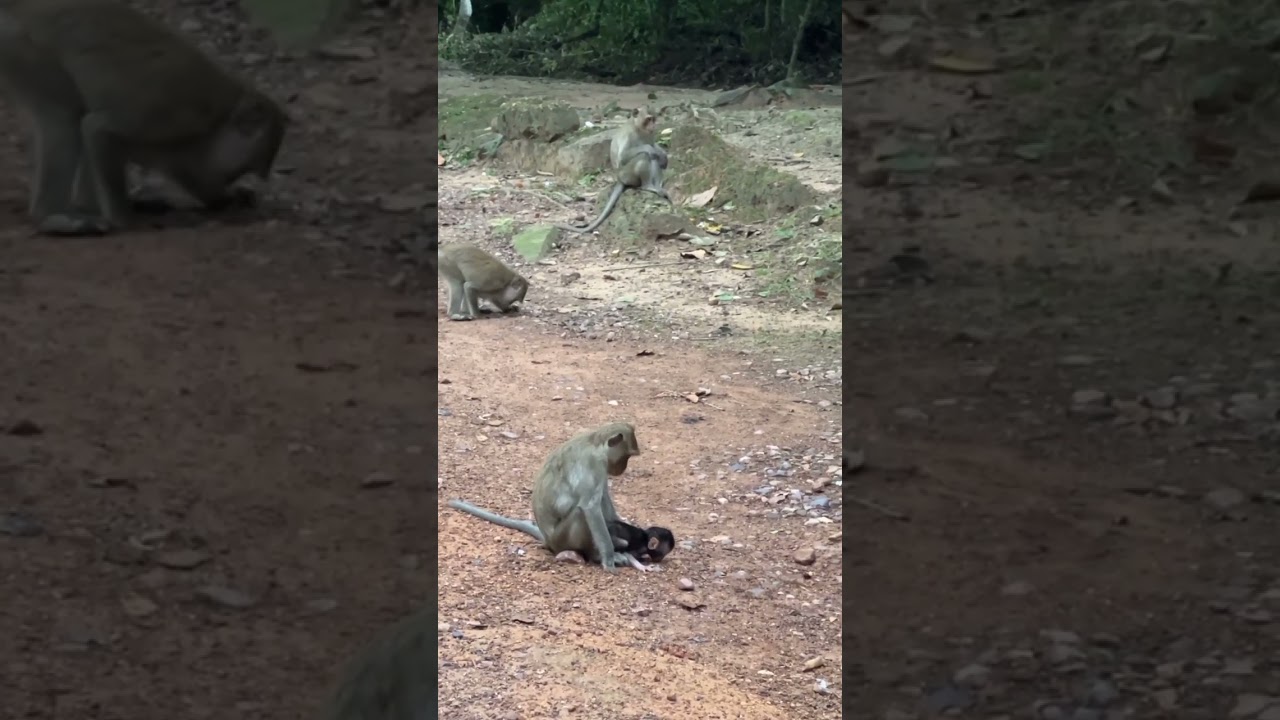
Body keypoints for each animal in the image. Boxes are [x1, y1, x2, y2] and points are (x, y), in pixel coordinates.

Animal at [0, 0, 287, 236]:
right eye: (248, 167)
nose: (234, 179)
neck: (218, 119)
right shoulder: (175, 115)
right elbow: (98, 129)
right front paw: (123, 221)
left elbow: (196, 177)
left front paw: (229, 198)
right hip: (22, 45)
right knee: (67, 119)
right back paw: (52, 216)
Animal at [447, 421, 642, 572]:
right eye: (627, 456)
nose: (623, 468)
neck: (595, 442)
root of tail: (547, 540)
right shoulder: (594, 463)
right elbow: (590, 507)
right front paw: (609, 558)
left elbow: (603, 497)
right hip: (561, 540)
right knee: (580, 513)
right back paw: (594, 554)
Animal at [557, 106, 675, 235]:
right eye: (648, 119)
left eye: (653, 119)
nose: (653, 126)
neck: (638, 127)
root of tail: (619, 179)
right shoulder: (630, 135)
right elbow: (624, 156)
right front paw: (651, 149)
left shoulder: (649, 135)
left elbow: (655, 149)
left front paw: (662, 153)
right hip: (627, 175)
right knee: (644, 156)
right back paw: (648, 185)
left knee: (654, 159)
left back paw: (658, 186)